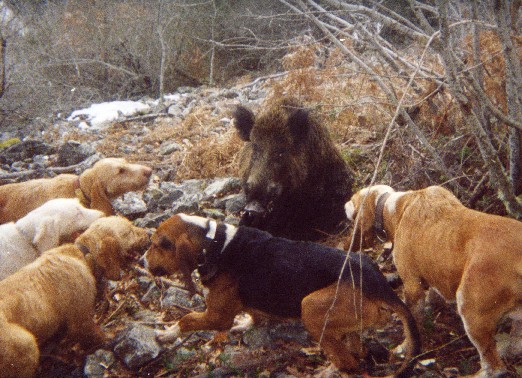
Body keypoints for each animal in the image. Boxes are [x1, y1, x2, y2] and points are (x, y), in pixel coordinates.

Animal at [0, 214, 149, 376]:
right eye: (128, 232)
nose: (148, 234)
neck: (82, 255)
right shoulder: (80, 316)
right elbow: (93, 333)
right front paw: (109, 337)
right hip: (27, 345)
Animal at [141, 213, 418, 376]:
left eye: (158, 244)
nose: (141, 261)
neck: (215, 243)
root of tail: (377, 282)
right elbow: (253, 315)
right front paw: (244, 324)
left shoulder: (218, 316)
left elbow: (185, 319)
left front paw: (166, 334)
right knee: (355, 351)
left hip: (310, 307)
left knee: (348, 362)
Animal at [346, 185, 520, 376]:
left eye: (353, 199)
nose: (345, 204)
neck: (393, 206)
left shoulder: (412, 285)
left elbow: (412, 325)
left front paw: (405, 348)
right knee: (515, 346)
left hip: (469, 309)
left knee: (495, 368)